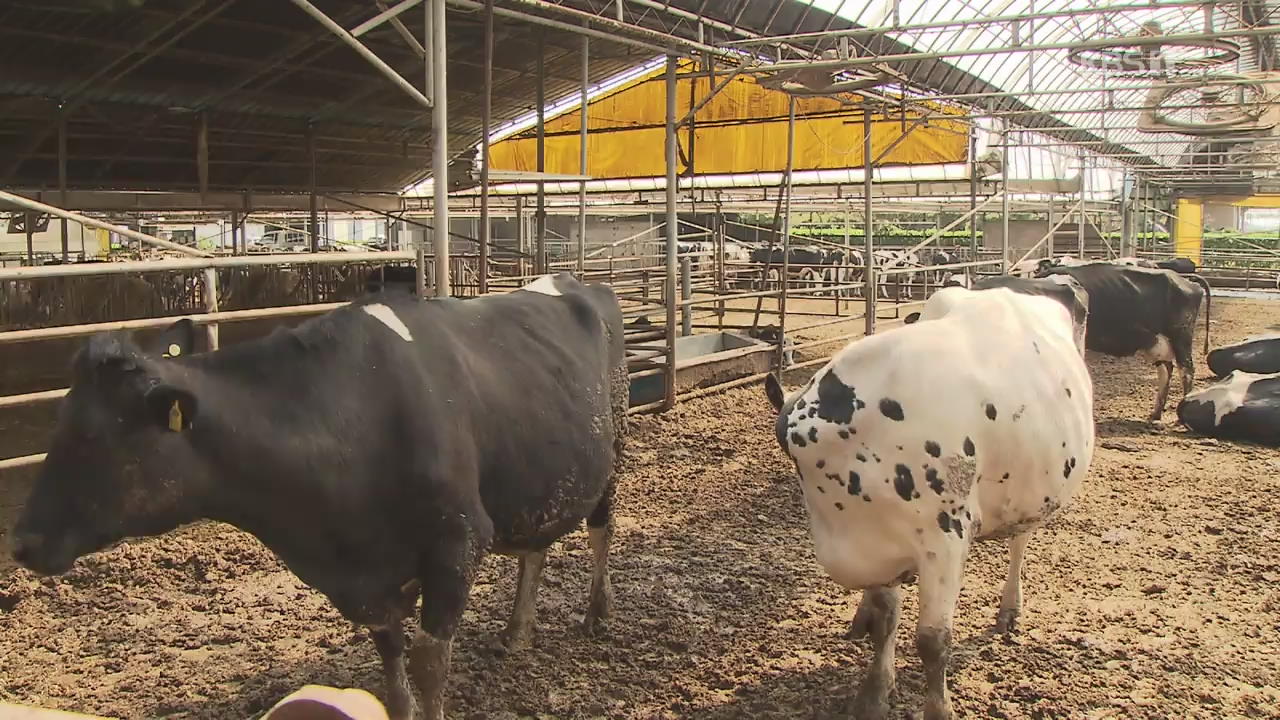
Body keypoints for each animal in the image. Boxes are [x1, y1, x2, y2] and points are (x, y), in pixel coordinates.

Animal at [10, 270, 629, 717]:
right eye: (58, 423)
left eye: (91, 436)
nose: (21, 541)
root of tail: (575, 281)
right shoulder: (368, 584)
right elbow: (394, 676)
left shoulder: (457, 544)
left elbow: (429, 669)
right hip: (540, 472)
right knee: (536, 547)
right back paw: (518, 631)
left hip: (613, 446)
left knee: (600, 528)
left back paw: (597, 613)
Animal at [762, 281, 1095, 717]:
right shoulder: (881, 548)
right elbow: (886, 620)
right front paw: (874, 691)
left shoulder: (946, 538)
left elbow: (933, 641)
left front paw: (938, 708)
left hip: (1031, 490)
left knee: (1019, 542)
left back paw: (1010, 608)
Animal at [1039, 260, 1208, 420]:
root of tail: (1187, 281)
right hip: (1157, 344)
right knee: (1166, 370)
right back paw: (1156, 413)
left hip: (1181, 338)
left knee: (1186, 371)